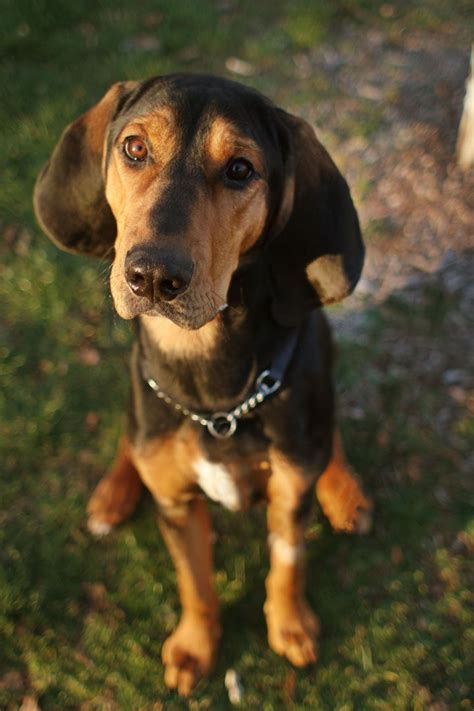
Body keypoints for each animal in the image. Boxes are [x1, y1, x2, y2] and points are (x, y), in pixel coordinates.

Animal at [34, 75, 374, 700]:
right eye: (134, 148)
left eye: (240, 169)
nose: (152, 277)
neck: (215, 396)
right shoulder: (177, 506)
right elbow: (194, 582)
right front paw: (194, 646)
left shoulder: (289, 497)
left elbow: (287, 565)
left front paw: (290, 626)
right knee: (131, 438)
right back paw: (114, 492)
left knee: (329, 431)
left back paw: (344, 489)